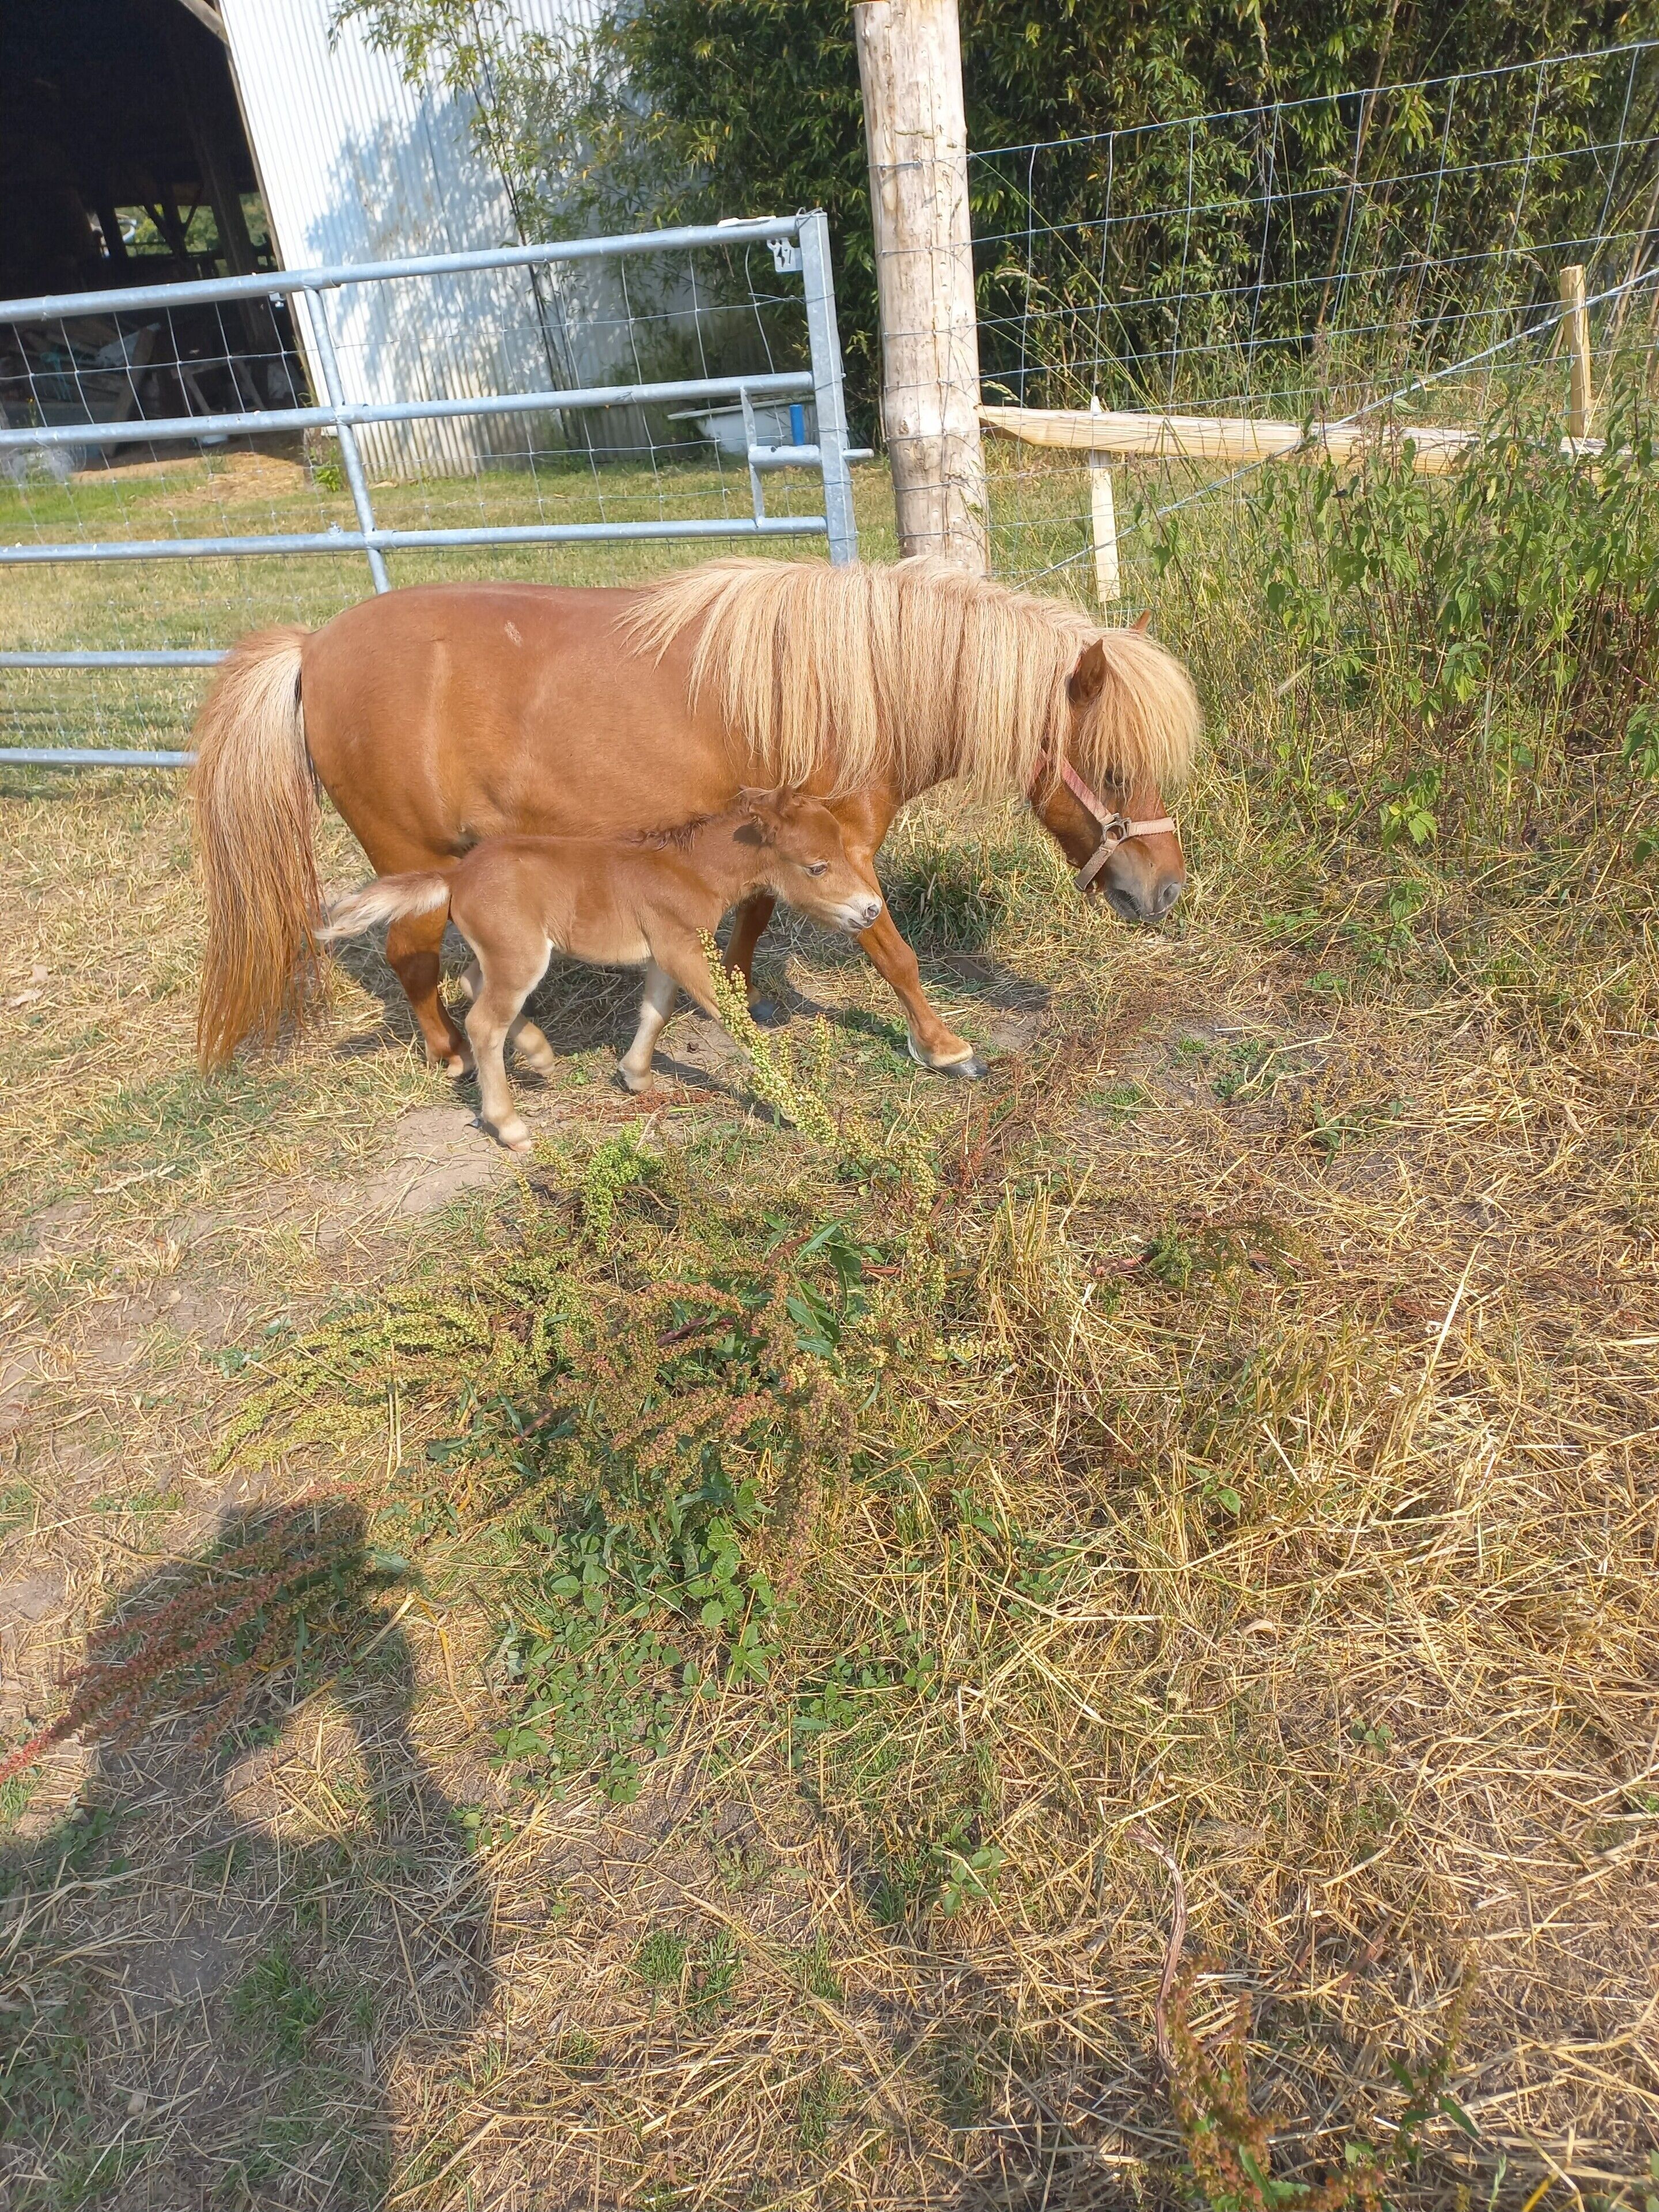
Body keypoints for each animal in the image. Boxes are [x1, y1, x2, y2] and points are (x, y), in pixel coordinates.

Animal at [191, 556, 1200, 1078]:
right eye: (1116, 770)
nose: (1165, 893)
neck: (852, 689)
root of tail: (312, 647)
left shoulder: (777, 847)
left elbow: (750, 914)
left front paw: (744, 994)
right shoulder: (847, 855)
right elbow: (896, 955)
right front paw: (946, 1047)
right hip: (413, 857)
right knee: (411, 962)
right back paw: (461, 1054)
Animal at [318, 788, 882, 1151]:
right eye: (817, 867)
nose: (871, 909)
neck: (691, 868)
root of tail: (456, 875)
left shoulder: (665, 950)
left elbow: (657, 1010)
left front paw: (636, 1076)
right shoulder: (681, 947)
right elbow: (734, 1020)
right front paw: (799, 1107)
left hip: (508, 951)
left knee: (473, 984)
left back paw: (540, 1056)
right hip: (520, 953)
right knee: (483, 1022)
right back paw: (511, 1127)